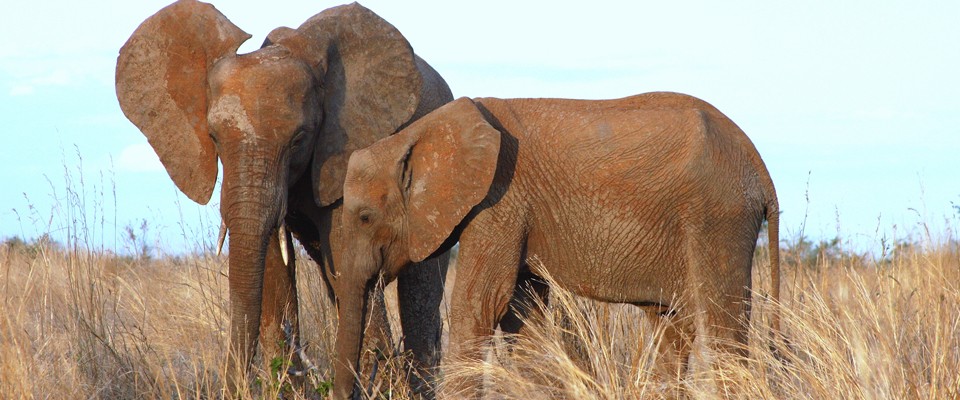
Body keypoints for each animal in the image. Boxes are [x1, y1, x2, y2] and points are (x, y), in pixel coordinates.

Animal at [114, 0, 452, 396]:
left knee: (419, 293)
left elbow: (350, 269)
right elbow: (275, 272)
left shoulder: (347, 151)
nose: (233, 387)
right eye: (213, 137)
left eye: (299, 139)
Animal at [338, 94, 780, 396]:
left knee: (721, 330)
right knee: (672, 327)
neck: (418, 134)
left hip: (717, 219)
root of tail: (760, 165)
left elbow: (481, 304)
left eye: (365, 217)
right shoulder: (515, 213)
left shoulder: (500, 202)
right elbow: (522, 314)